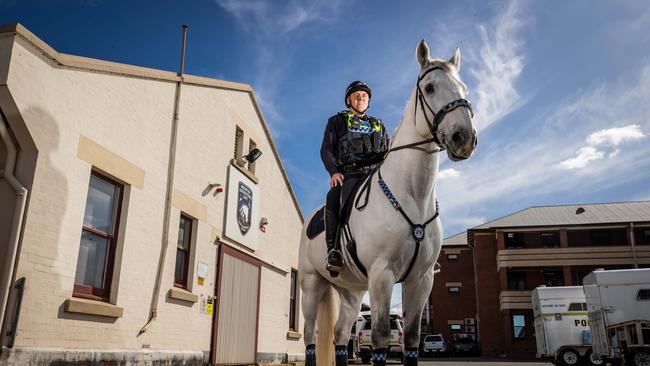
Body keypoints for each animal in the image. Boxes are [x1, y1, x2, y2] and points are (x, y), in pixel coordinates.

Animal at [298, 40, 476, 366]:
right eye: (430, 87)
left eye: (464, 88)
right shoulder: (383, 275)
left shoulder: (420, 280)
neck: (413, 196)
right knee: (309, 335)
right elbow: (380, 335)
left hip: (353, 290)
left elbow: (412, 338)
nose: (464, 138)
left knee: (341, 334)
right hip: (311, 284)